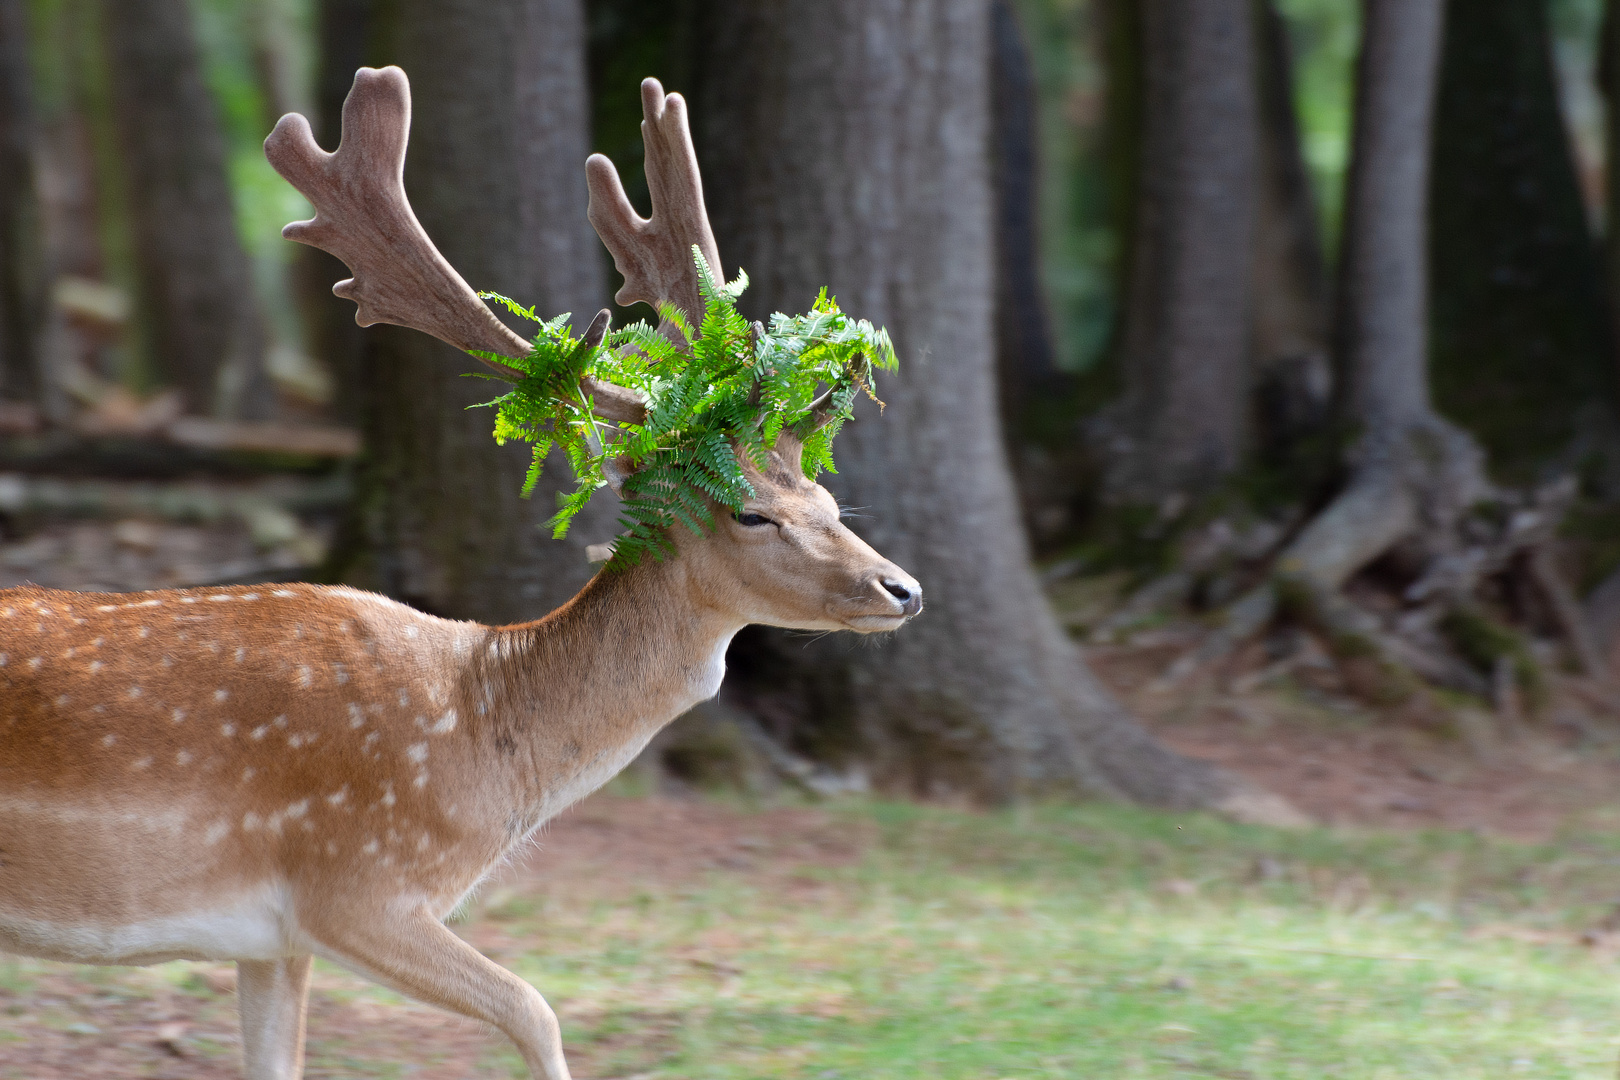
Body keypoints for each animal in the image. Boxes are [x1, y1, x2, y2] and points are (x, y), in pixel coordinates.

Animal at [0, 69, 920, 1080]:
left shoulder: (274, 941)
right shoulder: (352, 882)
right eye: (751, 512)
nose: (903, 589)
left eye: (827, 497)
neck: (481, 737)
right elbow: (536, 1009)